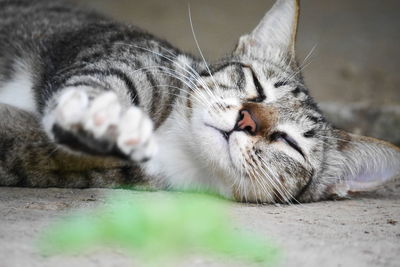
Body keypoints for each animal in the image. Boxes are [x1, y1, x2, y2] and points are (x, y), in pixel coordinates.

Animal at [0, 0, 398, 203]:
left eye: (290, 142)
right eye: (257, 86)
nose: (246, 120)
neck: (175, 141)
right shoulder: (118, 50)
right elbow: (130, 78)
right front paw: (104, 111)